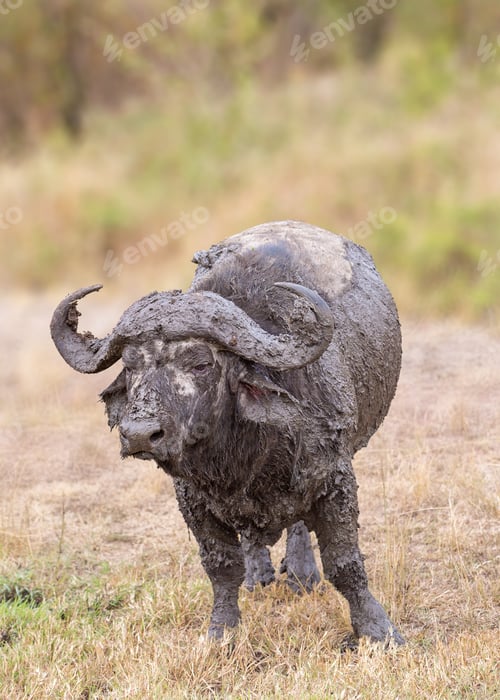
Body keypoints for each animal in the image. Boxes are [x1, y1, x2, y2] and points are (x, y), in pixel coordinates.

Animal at [51, 220, 404, 645]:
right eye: (131, 364)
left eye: (200, 363)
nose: (138, 434)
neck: (244, 455)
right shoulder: (192, 498)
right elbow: (220, 566)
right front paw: (221, 631)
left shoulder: (335, 478)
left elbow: (344, 563)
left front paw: (378, 630)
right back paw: (260, 575)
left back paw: (302, 575)